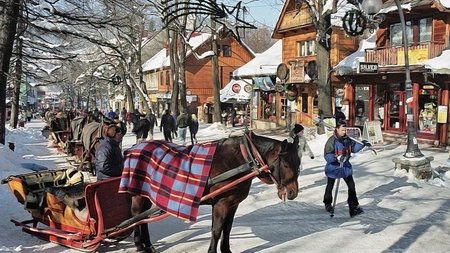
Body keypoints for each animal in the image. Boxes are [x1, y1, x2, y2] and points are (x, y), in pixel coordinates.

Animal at [121, 131, 300, 252]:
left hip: (147, 194)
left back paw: (148, 244)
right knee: (136, 216)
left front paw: (226, 250)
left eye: (298, 162)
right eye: (285, 164)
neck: (240, 161)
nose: (293, 192)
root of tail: (133, 148)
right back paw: (139, 244)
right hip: (137, 194)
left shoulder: (233, 204)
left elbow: (227, 229)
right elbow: (216, 230)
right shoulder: (221, 204)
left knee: (143, 218)